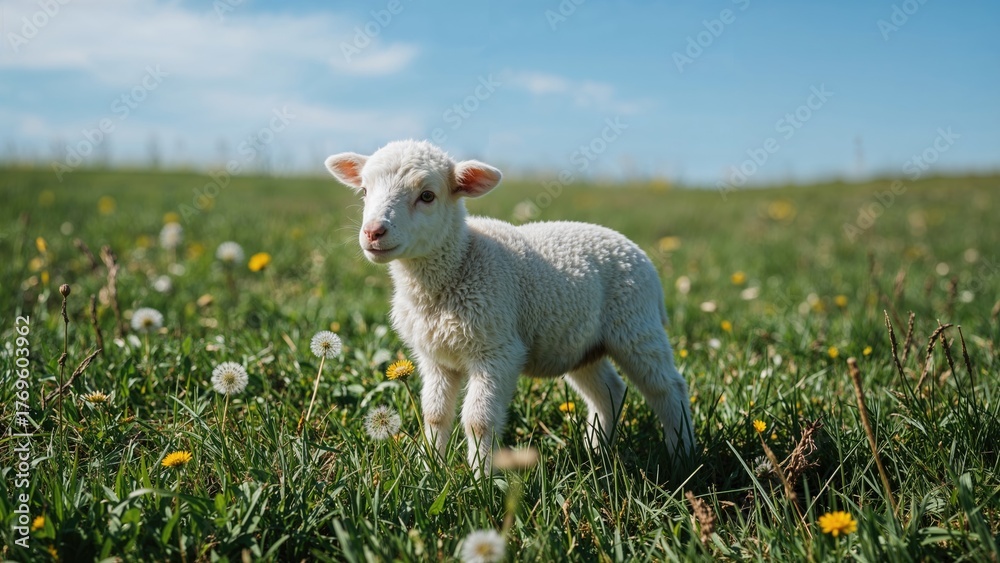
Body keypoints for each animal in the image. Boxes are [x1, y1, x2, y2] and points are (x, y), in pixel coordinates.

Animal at [325, 140, 695, 474]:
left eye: (427, 196)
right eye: (364, 191)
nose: (373, 232)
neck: (458, 266)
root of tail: (637, 252)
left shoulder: (497, 350)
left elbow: (477, 420)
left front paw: (481, 480)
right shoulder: (435, 357)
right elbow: (434, 414)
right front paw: (428, 469)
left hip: (636, 324)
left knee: (668, 388)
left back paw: (682, 456)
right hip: (580, 344)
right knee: (610, 392)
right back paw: (597, 452)